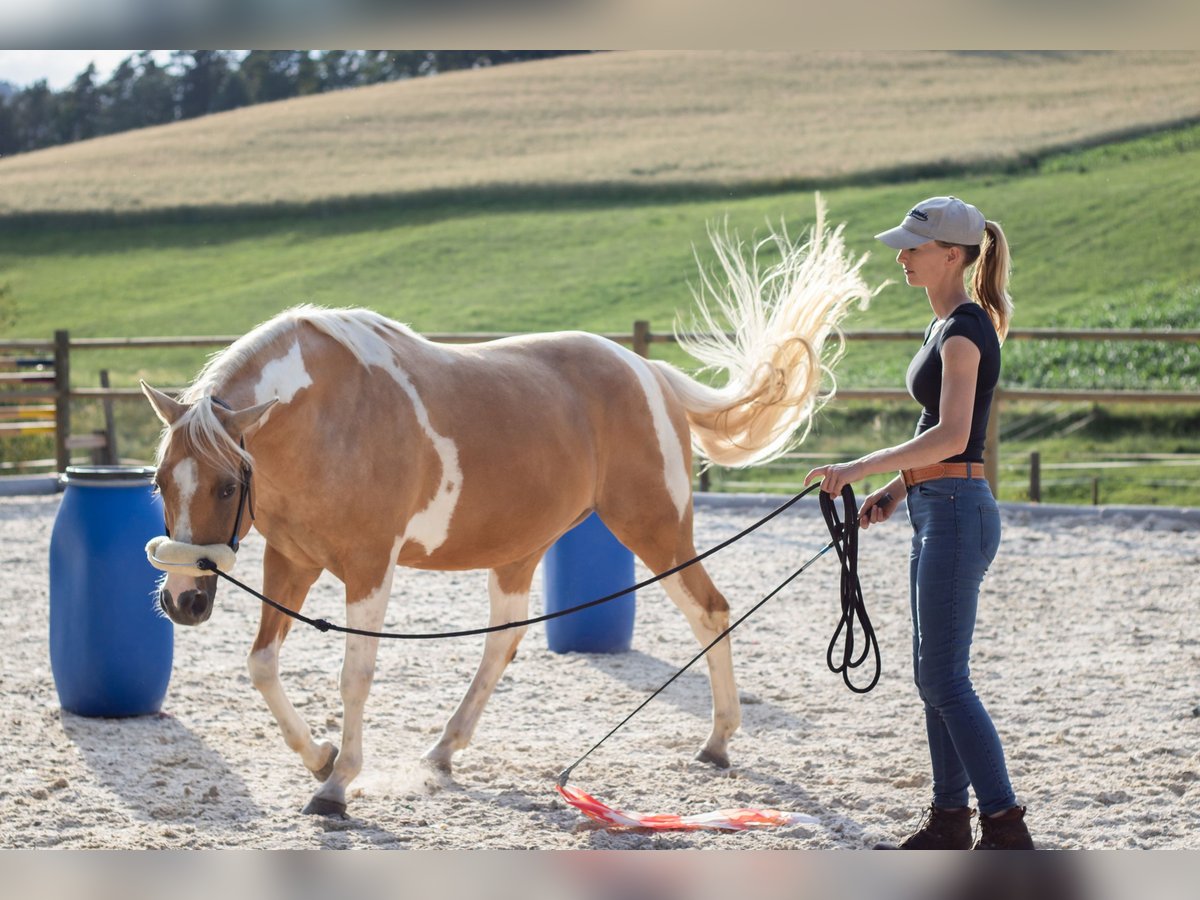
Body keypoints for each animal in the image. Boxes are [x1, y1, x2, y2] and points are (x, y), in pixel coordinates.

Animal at [141, 205, 874, 816]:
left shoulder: (369, 568)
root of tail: (649, 375)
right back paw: (443, 750)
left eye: (227, 487)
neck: (327, 417)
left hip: (656, 530)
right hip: (523, 549)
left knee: (710, 611)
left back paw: (719, 742)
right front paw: (321, 757)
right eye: (159, 483)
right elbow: (262, 665)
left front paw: (337, 784)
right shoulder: (291, 561)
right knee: (504, 639)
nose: (183, 601)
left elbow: (355, 675)